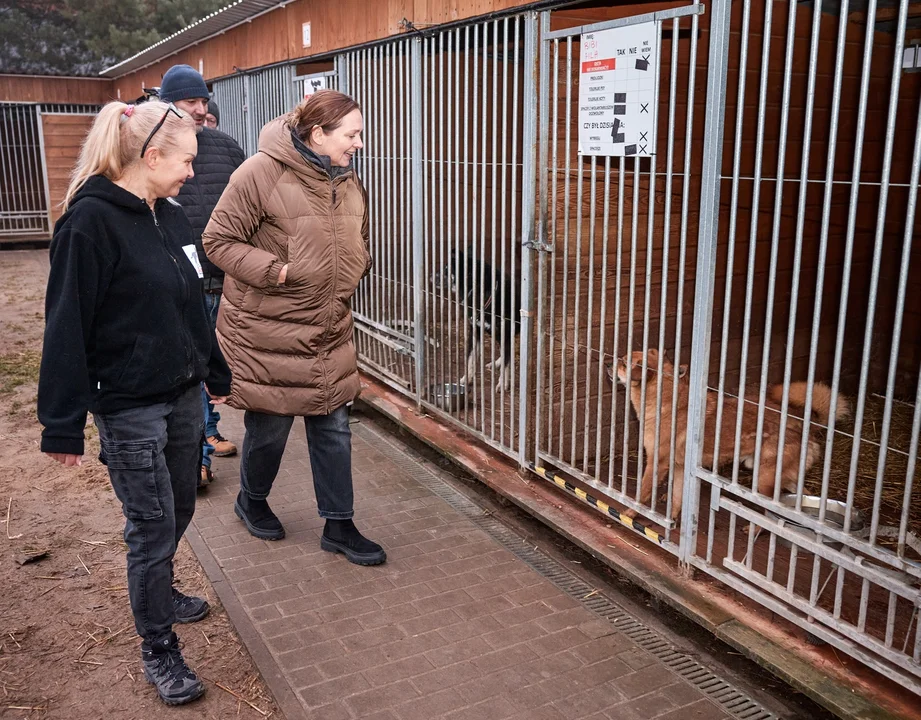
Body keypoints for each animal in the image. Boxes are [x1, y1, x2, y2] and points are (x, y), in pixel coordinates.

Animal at [430, 250, 516, 390]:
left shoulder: (506, 335)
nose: (431, 276)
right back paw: (496, 362)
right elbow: (471, 359)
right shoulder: (475, 331)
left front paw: (503, 383)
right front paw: (466, 379)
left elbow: (506, 365)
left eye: (447, 269)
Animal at [604, 352, 848, 520]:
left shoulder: (657, 462)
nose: (606, 363)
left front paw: (630, 513)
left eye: (624, 362)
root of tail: (805, 427)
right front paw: (672, 521)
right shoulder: (680, 467)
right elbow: (677, 498)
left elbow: (643, 492)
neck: (665, 401)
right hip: (784, 478)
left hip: (763, 479)